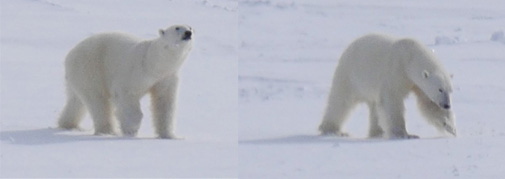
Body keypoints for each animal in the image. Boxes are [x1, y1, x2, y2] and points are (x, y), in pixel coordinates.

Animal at [57, 24, 193, 138]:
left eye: (190, 27)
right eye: (177, 27)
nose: (188, 33)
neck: (153, 63)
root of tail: (70, 53)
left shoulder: (166, 77)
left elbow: (164, 102)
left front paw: (169, 135)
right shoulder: (134, 71)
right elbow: (126, 95)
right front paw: (131, 129)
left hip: (79, 75)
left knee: (76, 100)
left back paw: (68, 124)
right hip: (90, 67)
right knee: (97, 100)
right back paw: (108, 131)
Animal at [318, 33, 456, 139]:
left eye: (450, 91)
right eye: (440, 89)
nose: (447, 105)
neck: (410, 56)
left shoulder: (417, 84)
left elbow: (429, 103)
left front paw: (450, 127)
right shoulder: (396, 70)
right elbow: (392, 101)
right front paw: (404, 134)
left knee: (374, 107)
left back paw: (377, 133)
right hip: (350, 74)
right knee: (340, 101)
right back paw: (332, 130)